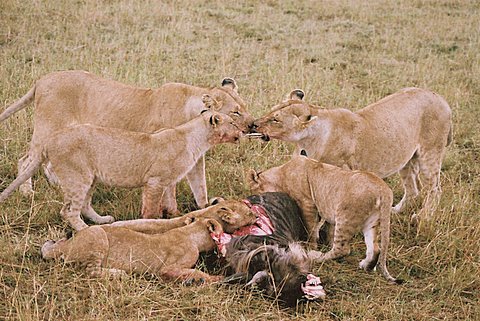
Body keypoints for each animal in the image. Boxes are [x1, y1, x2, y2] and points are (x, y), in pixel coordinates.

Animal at [0, 69, 255, 216]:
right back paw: (27, 193)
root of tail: (42, 80)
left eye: (245, 108)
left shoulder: (195, 158)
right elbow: (169, 189)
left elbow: (200, 186)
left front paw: (206, 208)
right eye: (235, 112)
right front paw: (171, 213)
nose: (253, 125)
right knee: (26, 160)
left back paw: (55, 182)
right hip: (48, 127)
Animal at [0, 100, 240, 230]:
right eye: (233, 121)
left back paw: (102, 220)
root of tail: (51, 140)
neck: (196, 137)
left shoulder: (166, 182)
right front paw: (150, 224)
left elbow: (169, 202)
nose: (242, 132)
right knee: (68, 211)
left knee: (84, 205)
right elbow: (151, 209)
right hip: (78, 176)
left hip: (90, 178)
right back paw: (85, 230)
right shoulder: (155, 181)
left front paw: (174, 214)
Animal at [41, 216, 225, 282]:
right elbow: (196, 272)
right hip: (98, 234)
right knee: (91, 270)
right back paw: (119, 274)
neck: (190, 232)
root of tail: (65, 246)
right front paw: (215, 279)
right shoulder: (167, 269)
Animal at [248, 155, 402, 282]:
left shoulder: (308, 204)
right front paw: (326, 241)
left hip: (345, 217)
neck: (281, 174)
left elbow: (310, 229)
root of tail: (383, 189)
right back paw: (365, 266)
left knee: (342, 249)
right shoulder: (326, 210)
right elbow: (327, 229)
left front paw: (311, 246)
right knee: (375, 248)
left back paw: (315, 256)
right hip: (371, 222)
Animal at [251, 87, 454, 222]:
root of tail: (442, 99)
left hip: (431, 153)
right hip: (405, 160)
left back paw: (423, 217)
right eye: (271, 110)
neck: (306, 141)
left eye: (275, 120)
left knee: (434, 189)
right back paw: (394, 211)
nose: (253, 124)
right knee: (413, 189)